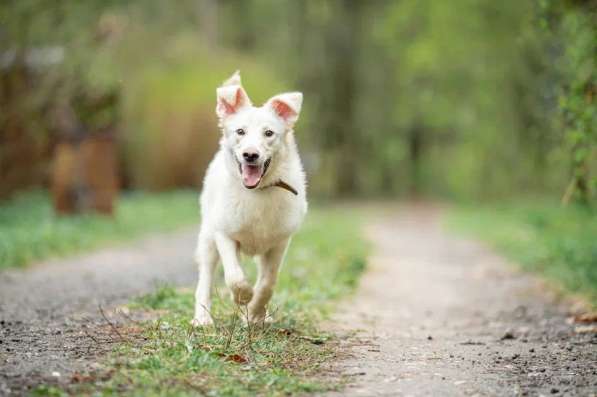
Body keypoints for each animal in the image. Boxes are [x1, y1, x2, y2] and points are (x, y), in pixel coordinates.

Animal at [192, 70, 308, 324]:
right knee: (206, 277)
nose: (250, 155)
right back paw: (202, 317)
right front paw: (243, 296)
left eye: (269, 133)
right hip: (208, 237)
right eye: (240, 132)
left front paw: (254, 312)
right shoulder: (224, 234)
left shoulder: (279, 243)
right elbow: (234, 276)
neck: (257, 192)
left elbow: (267, 283)